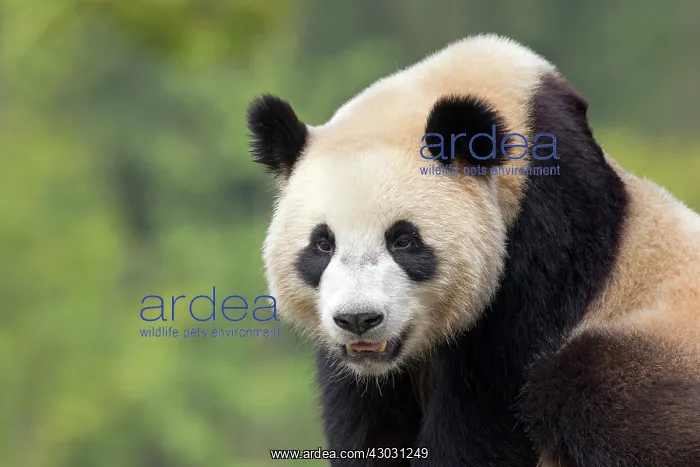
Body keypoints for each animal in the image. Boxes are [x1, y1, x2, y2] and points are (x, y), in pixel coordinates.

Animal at [246, 34, 700, 467]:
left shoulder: (549, 238)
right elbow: (369, 421)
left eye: (404, 240)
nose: (359, 319)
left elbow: (488, 410)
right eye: (322, 244)